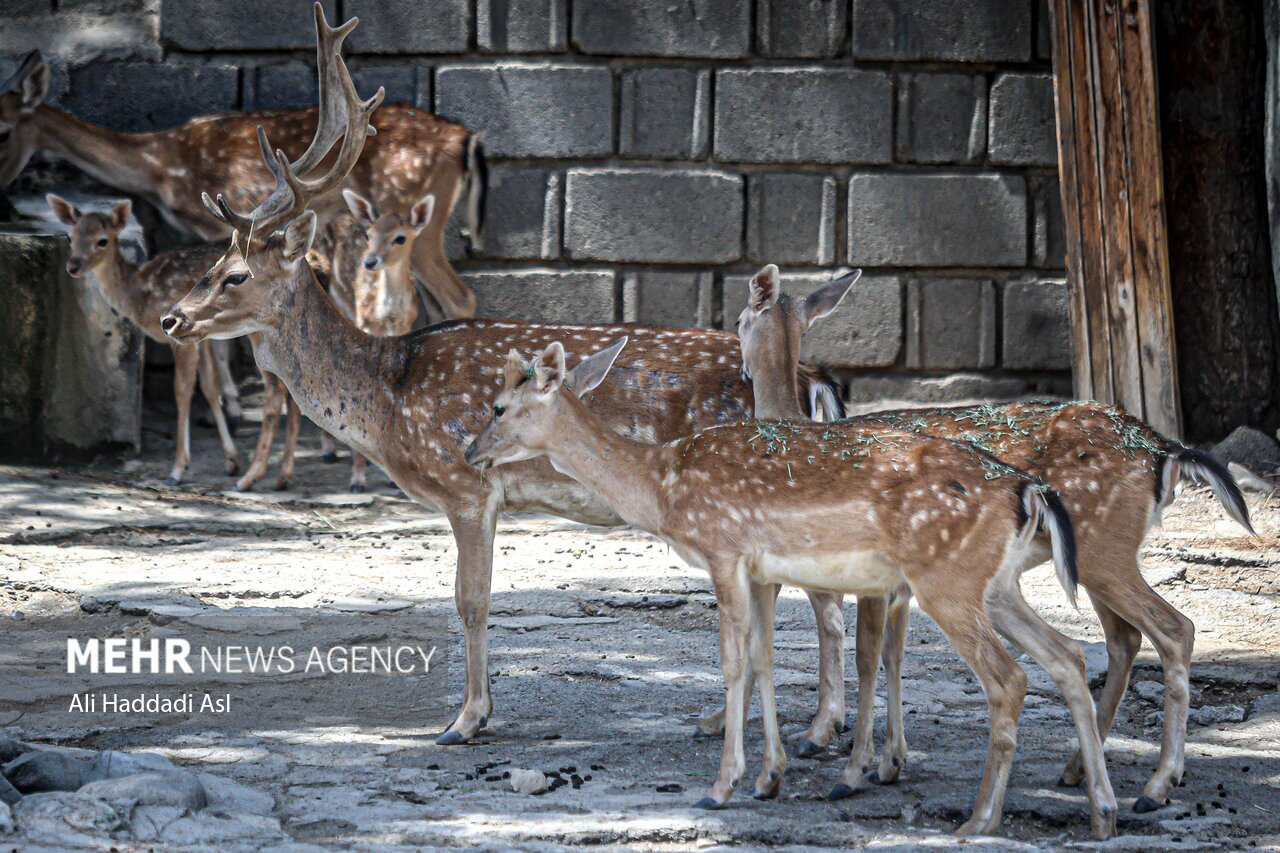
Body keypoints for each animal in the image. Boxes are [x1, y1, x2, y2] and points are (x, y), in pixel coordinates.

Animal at [0, 4, 481, 322]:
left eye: (3, 131)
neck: (159, 166)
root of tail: (467, 138)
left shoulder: (211, 225)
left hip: (415, 217)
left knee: (458, 297)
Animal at [157, 13, 849, 758]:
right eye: (211, 265)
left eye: (234, 275)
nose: (171, 318)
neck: (387, 397)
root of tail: (814, 380)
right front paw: (475, 712)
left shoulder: (466, 484)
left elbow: (470, 599)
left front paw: (465, 719)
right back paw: (755, 720)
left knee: (812, 591)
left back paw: (816, 726)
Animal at [468, 338, 1121, 835]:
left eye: (497, 407)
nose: (469, 449)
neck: (661, 487)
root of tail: (1029, 490)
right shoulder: (760, 571)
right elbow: (763, 658)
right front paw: (768, 778)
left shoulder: (724, 550)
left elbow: (733, 662)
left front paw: (722, 786)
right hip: (995, 585)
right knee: (1066, 655)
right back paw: (1103, 812)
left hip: (948, 580)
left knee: (1009, 678)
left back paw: (980, 820)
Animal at [737, 262, 1254, 809]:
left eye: (741, 317)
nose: (742, 370)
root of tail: (1164, 451)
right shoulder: (902, 585)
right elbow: (895, 657)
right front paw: (890, 762)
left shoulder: (877, 581)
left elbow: (867, 656)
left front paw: (855, 770)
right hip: (1098, 557)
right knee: (1124, 638)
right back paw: (1080, 769)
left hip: (1103, 550)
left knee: (1174, 629)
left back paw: (1157, 784)